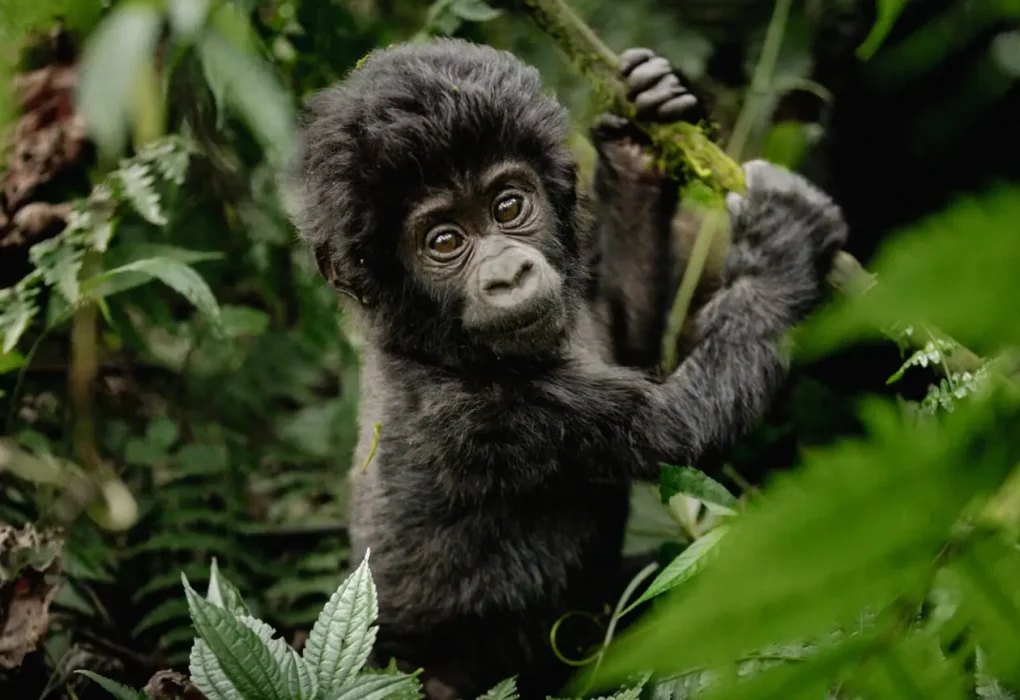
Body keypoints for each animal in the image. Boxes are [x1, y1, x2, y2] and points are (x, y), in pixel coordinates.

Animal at [282, 38, 847, 699]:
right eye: (444, 242)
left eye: (508, 205)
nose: (508, 274)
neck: (429, 346)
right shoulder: (478, 414)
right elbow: (678, 429)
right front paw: (782, 241)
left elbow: (629, 334)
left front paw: (639, 135)